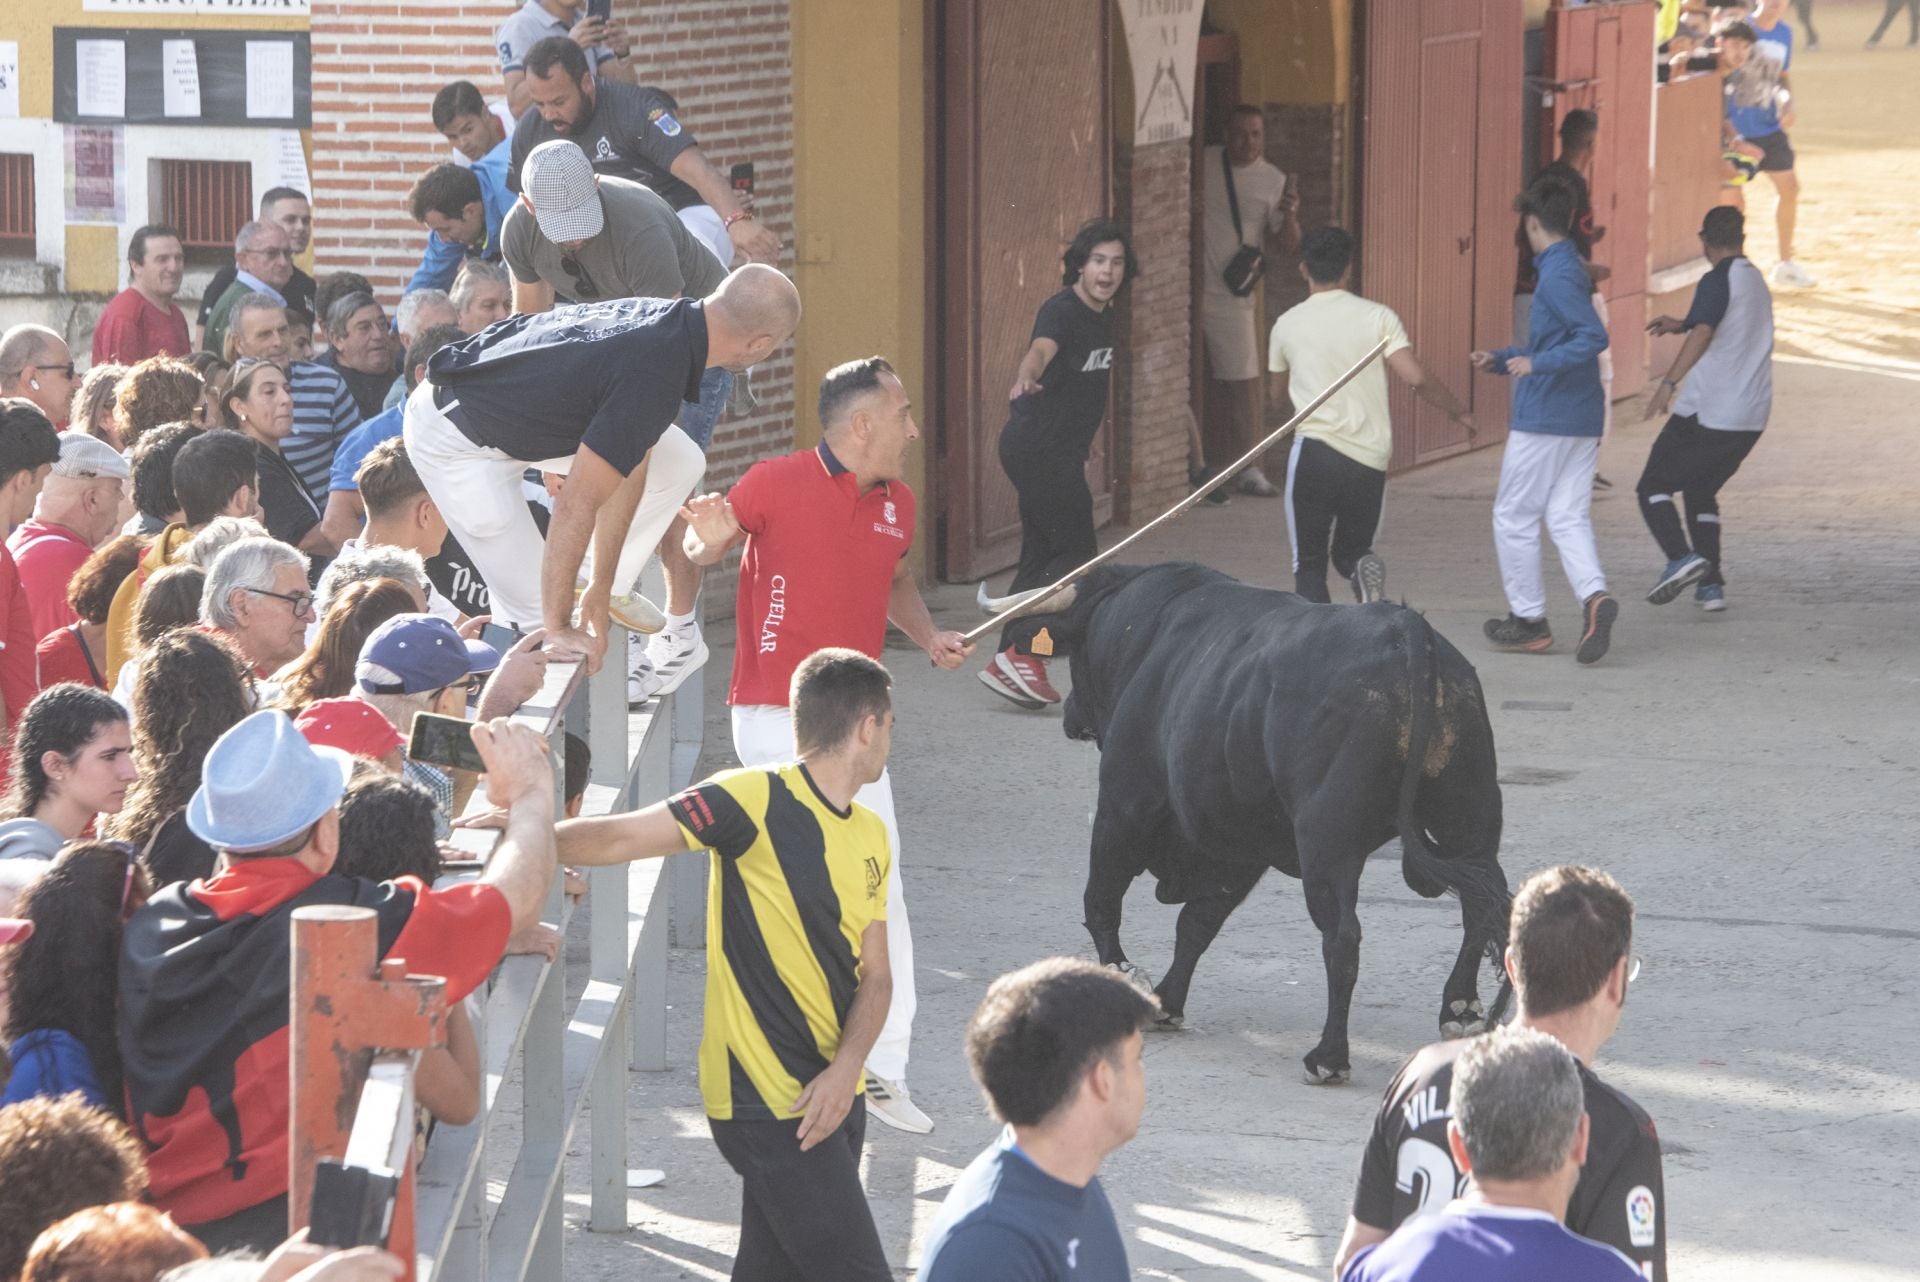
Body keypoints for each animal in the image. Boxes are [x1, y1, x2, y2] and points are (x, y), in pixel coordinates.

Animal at [1006, 560, 1512, 1082]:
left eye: (1076, 656)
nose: (1070, 714)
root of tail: (1407, 631)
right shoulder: (1235, 841)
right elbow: (1196, 924)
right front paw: (1166, 1001)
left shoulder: (1122, 807)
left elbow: (1103, 901)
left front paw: (1124, 975)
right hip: (1470, 817)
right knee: (1482, 904)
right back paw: (1459, 1008)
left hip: (1327, 842)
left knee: (1342, 936)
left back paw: (1328, 1057)